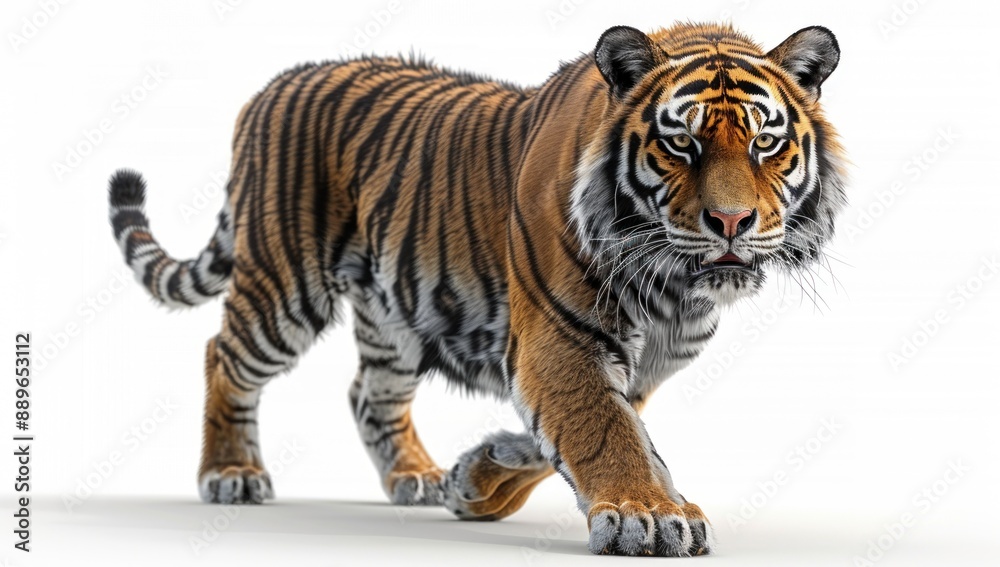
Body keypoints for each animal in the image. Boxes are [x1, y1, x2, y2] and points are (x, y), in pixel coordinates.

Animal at [106, 22, 846, 556]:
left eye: (766, 144)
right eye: (681, 144)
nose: (731, 222)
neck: (676, 287)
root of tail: (272, 86)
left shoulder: (640, 363)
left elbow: (572, 435)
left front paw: (476, 477)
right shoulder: (562, 336)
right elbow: (605, 430)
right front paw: (653, 516)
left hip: (394, 313)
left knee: (368, 390)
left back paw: (416, 477)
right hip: (285, 286)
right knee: (223, 355)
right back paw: (230, 473)